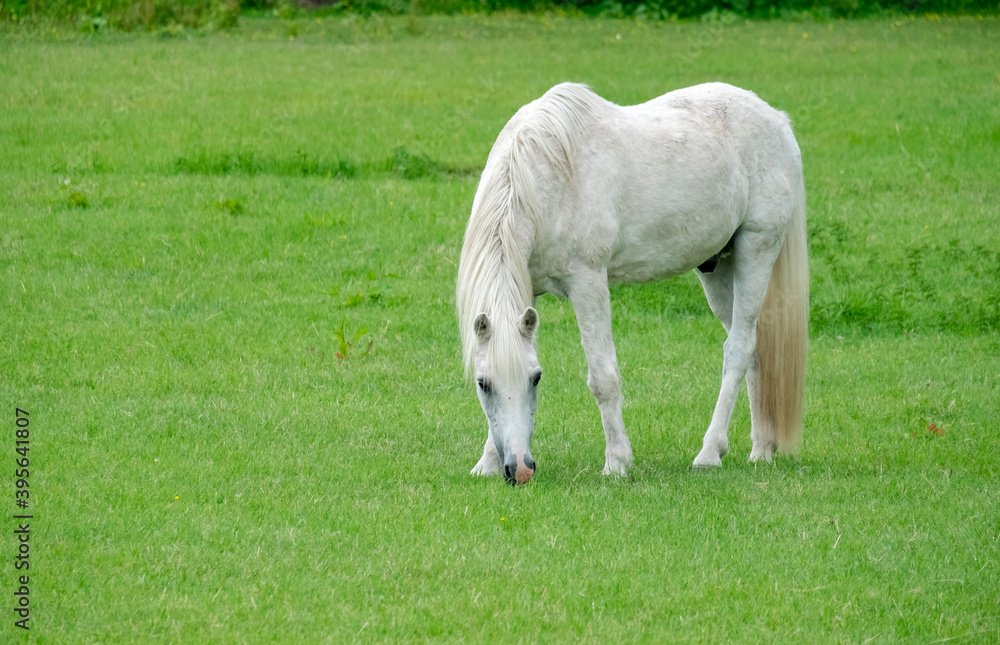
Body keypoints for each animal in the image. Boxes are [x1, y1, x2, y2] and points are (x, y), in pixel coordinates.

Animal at [456, 82, 808, 485]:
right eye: (483, 383)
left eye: (536, 378)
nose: (520, 468)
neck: (544, 178)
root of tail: (777, 121)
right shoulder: (524, 288)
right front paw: (487, 462)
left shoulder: (588, 282)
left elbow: (603, 378)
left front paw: (617, 462)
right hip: (719, 269)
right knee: (755, 350)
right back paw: (762, 449)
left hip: (756, 251)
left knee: (738, 349)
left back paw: (709, 453)